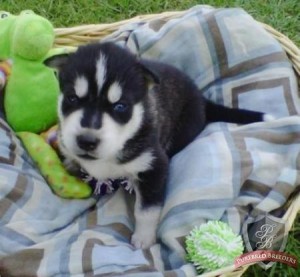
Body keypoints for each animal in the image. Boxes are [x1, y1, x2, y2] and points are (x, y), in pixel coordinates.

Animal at [46, 42, 268, 249]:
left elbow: (146, 210)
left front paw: (143, 238)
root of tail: (202, 99)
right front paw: (71, 165)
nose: (87, 141)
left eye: (120, 106)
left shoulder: (154, 166)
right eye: (72, 98)